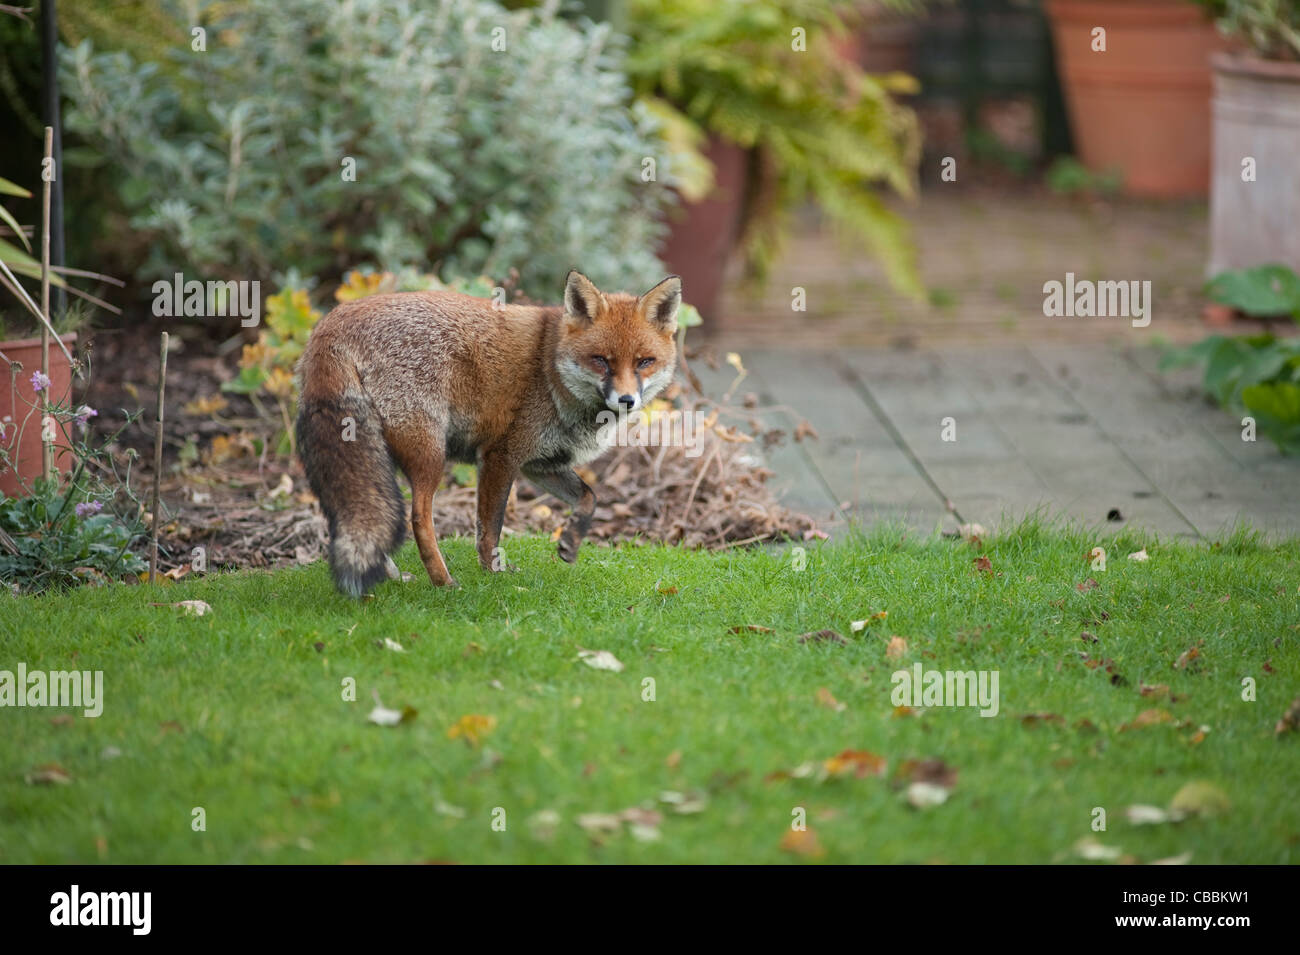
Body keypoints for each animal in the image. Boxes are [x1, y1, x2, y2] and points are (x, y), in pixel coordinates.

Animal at [295, 270, 681, 597]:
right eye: (601, 360)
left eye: (644, 362)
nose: (627, 400)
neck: (550, 371)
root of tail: (329, 322)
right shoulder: (500, 456)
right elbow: (489, 530)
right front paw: (494, 575)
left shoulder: (541, 464)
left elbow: (590, 498)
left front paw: (570, 543)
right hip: (429, 453)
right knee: (418, 518)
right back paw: (443, 581)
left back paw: (392, 575)